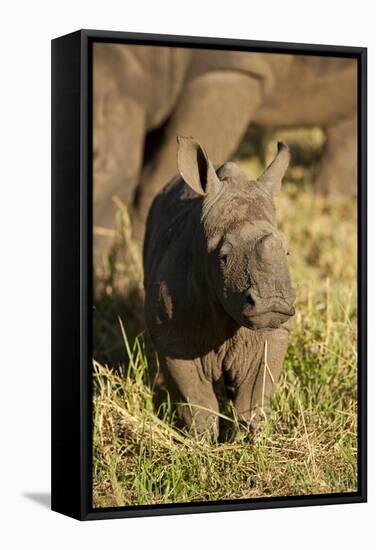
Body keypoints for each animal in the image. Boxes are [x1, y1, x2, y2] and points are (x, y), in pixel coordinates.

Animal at [142, 136, 296, 442]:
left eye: (286, 253)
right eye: (223, 257)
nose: (273, 303)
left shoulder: (272, 332)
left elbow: (253, 398)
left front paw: (251, 440)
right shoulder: (174, 336)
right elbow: (199, 401)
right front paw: (202, 443)